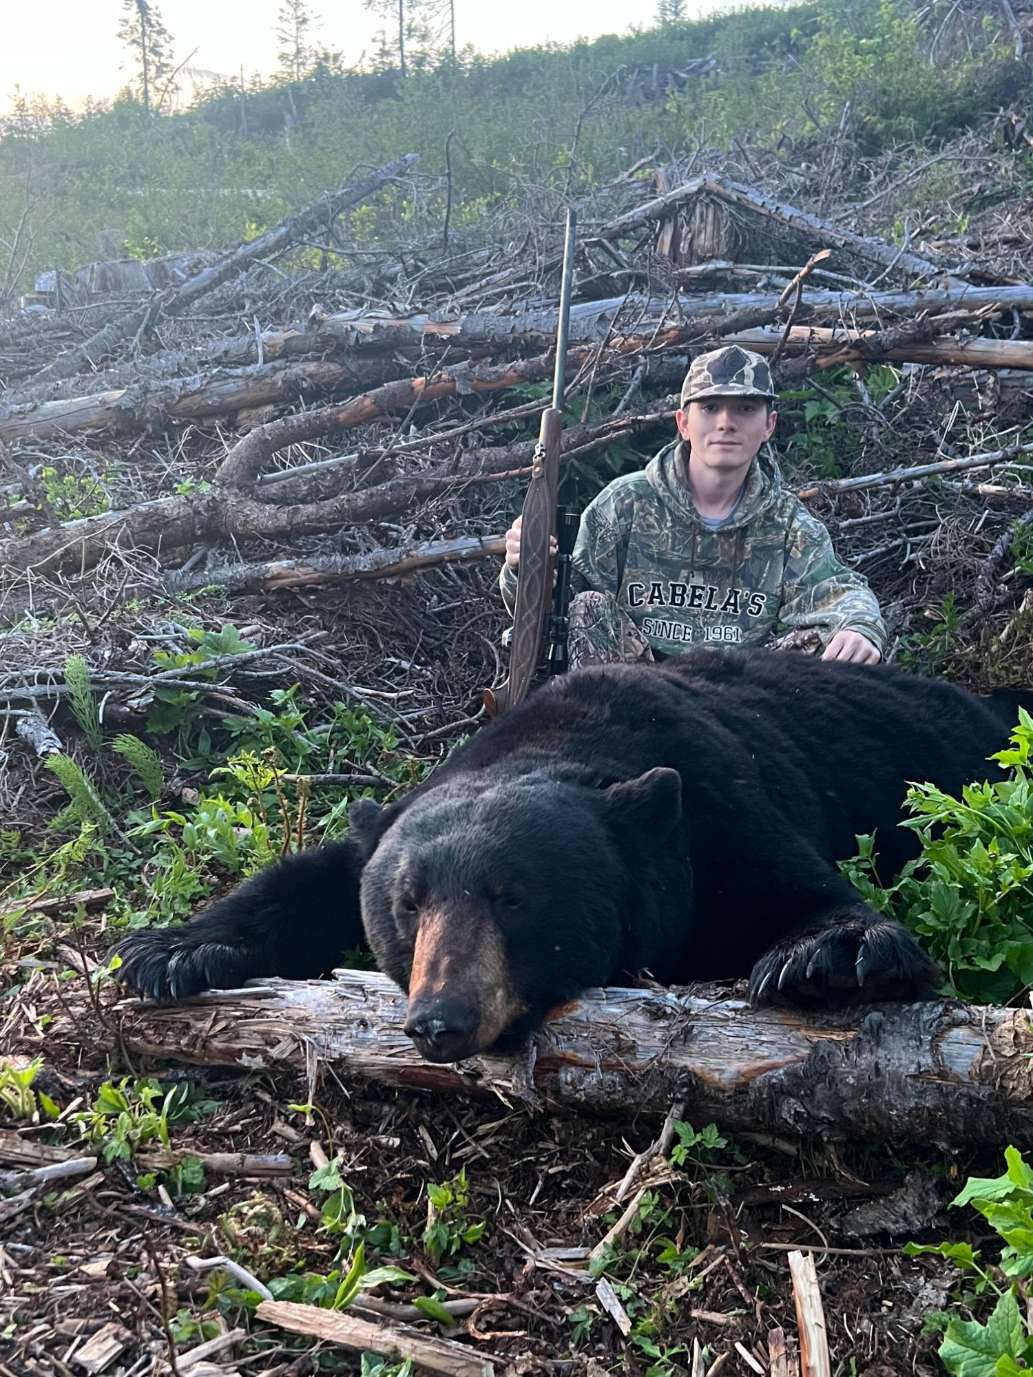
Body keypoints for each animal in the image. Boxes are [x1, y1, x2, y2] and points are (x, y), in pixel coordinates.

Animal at [115, 648, 1027, 1064]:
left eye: (513, 895)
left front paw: (826, 956)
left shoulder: (712, 815)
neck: (564, 740)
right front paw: (172, 949)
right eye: (408, 903)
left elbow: (795, 889)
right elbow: (314, 875)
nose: (438, 1019)